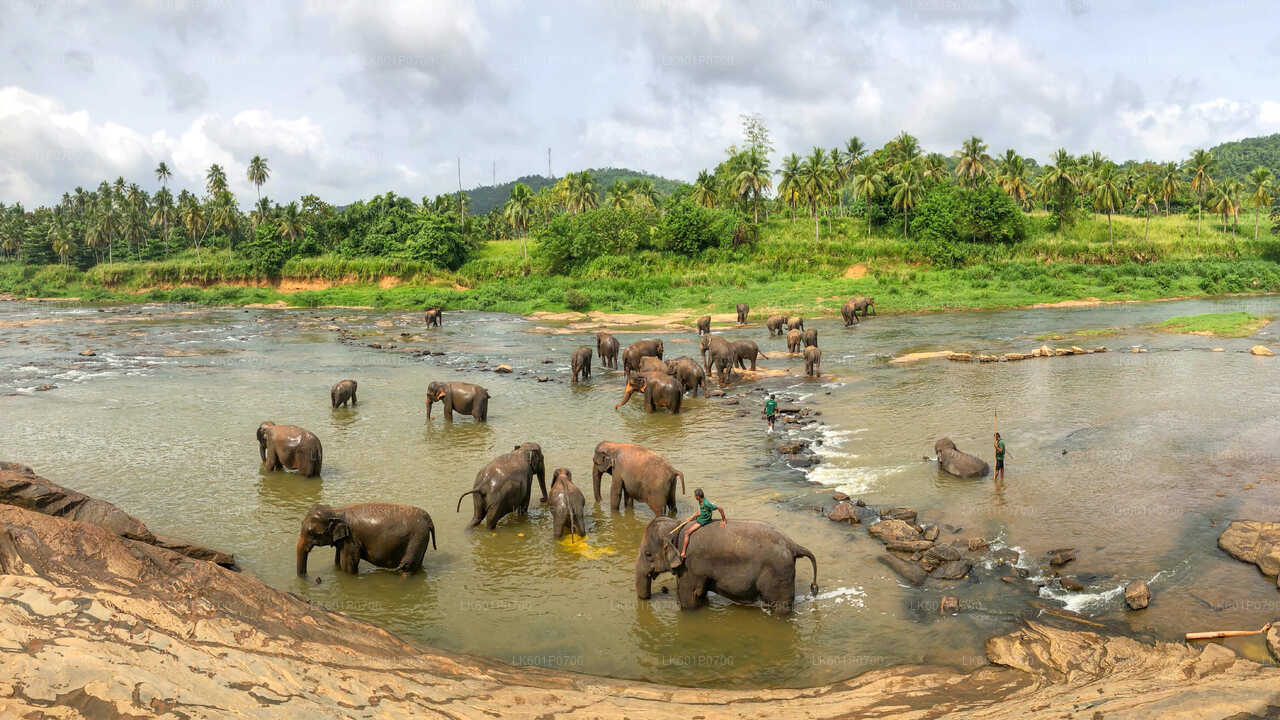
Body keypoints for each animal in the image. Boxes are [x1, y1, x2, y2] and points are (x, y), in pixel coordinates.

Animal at [296, 503, 436, 576]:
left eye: (311, 533)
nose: (316, 579)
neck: (336, 511)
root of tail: (428, 518)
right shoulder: (344, 540)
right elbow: (338, 561)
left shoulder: (351, 540)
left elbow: (348, 565)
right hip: (421, 540)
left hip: (416, 539)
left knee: (407, 567)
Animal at [634, 516, 818, 615]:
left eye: (648, 554)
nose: (658, 593)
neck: (677, 526)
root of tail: (793, 545)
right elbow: (699, 595)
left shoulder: (689, 565)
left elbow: (688, 598)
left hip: (779, 573)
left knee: (780, 606)